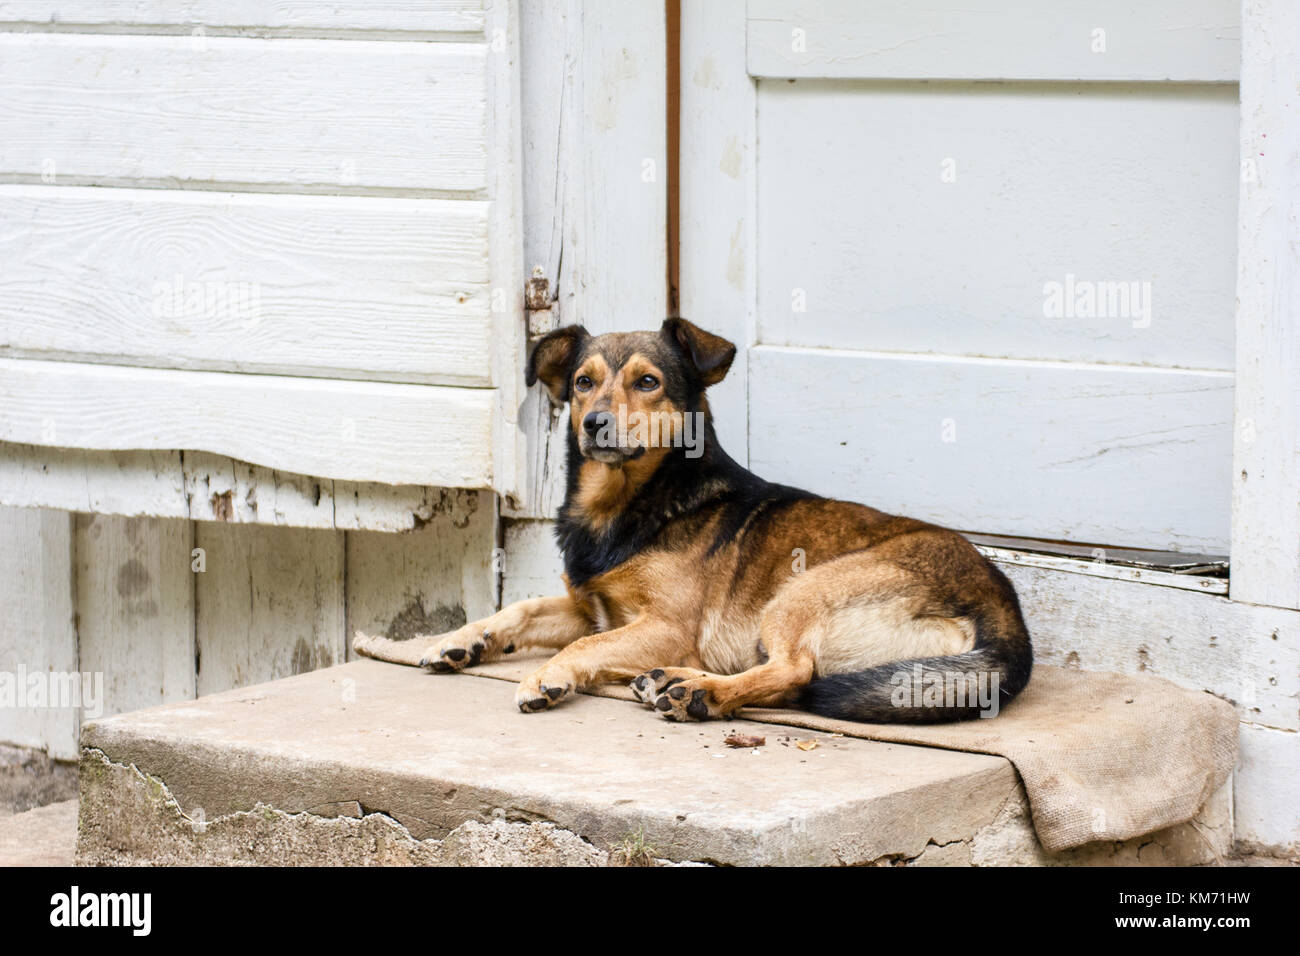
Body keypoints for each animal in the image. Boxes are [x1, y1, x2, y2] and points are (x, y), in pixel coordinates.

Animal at [351, 317, 1029, 723]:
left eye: (648, 382)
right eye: (582, 382)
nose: (594, 423)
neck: (626, 505)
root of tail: (1006, 613)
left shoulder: (664, 624)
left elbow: (587, 644)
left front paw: (549, 675)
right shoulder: (587, 604)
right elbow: (519, 610)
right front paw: (460, 640)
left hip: (802, 590)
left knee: (793, 671)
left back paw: (699, 693)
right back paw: (669, 681)